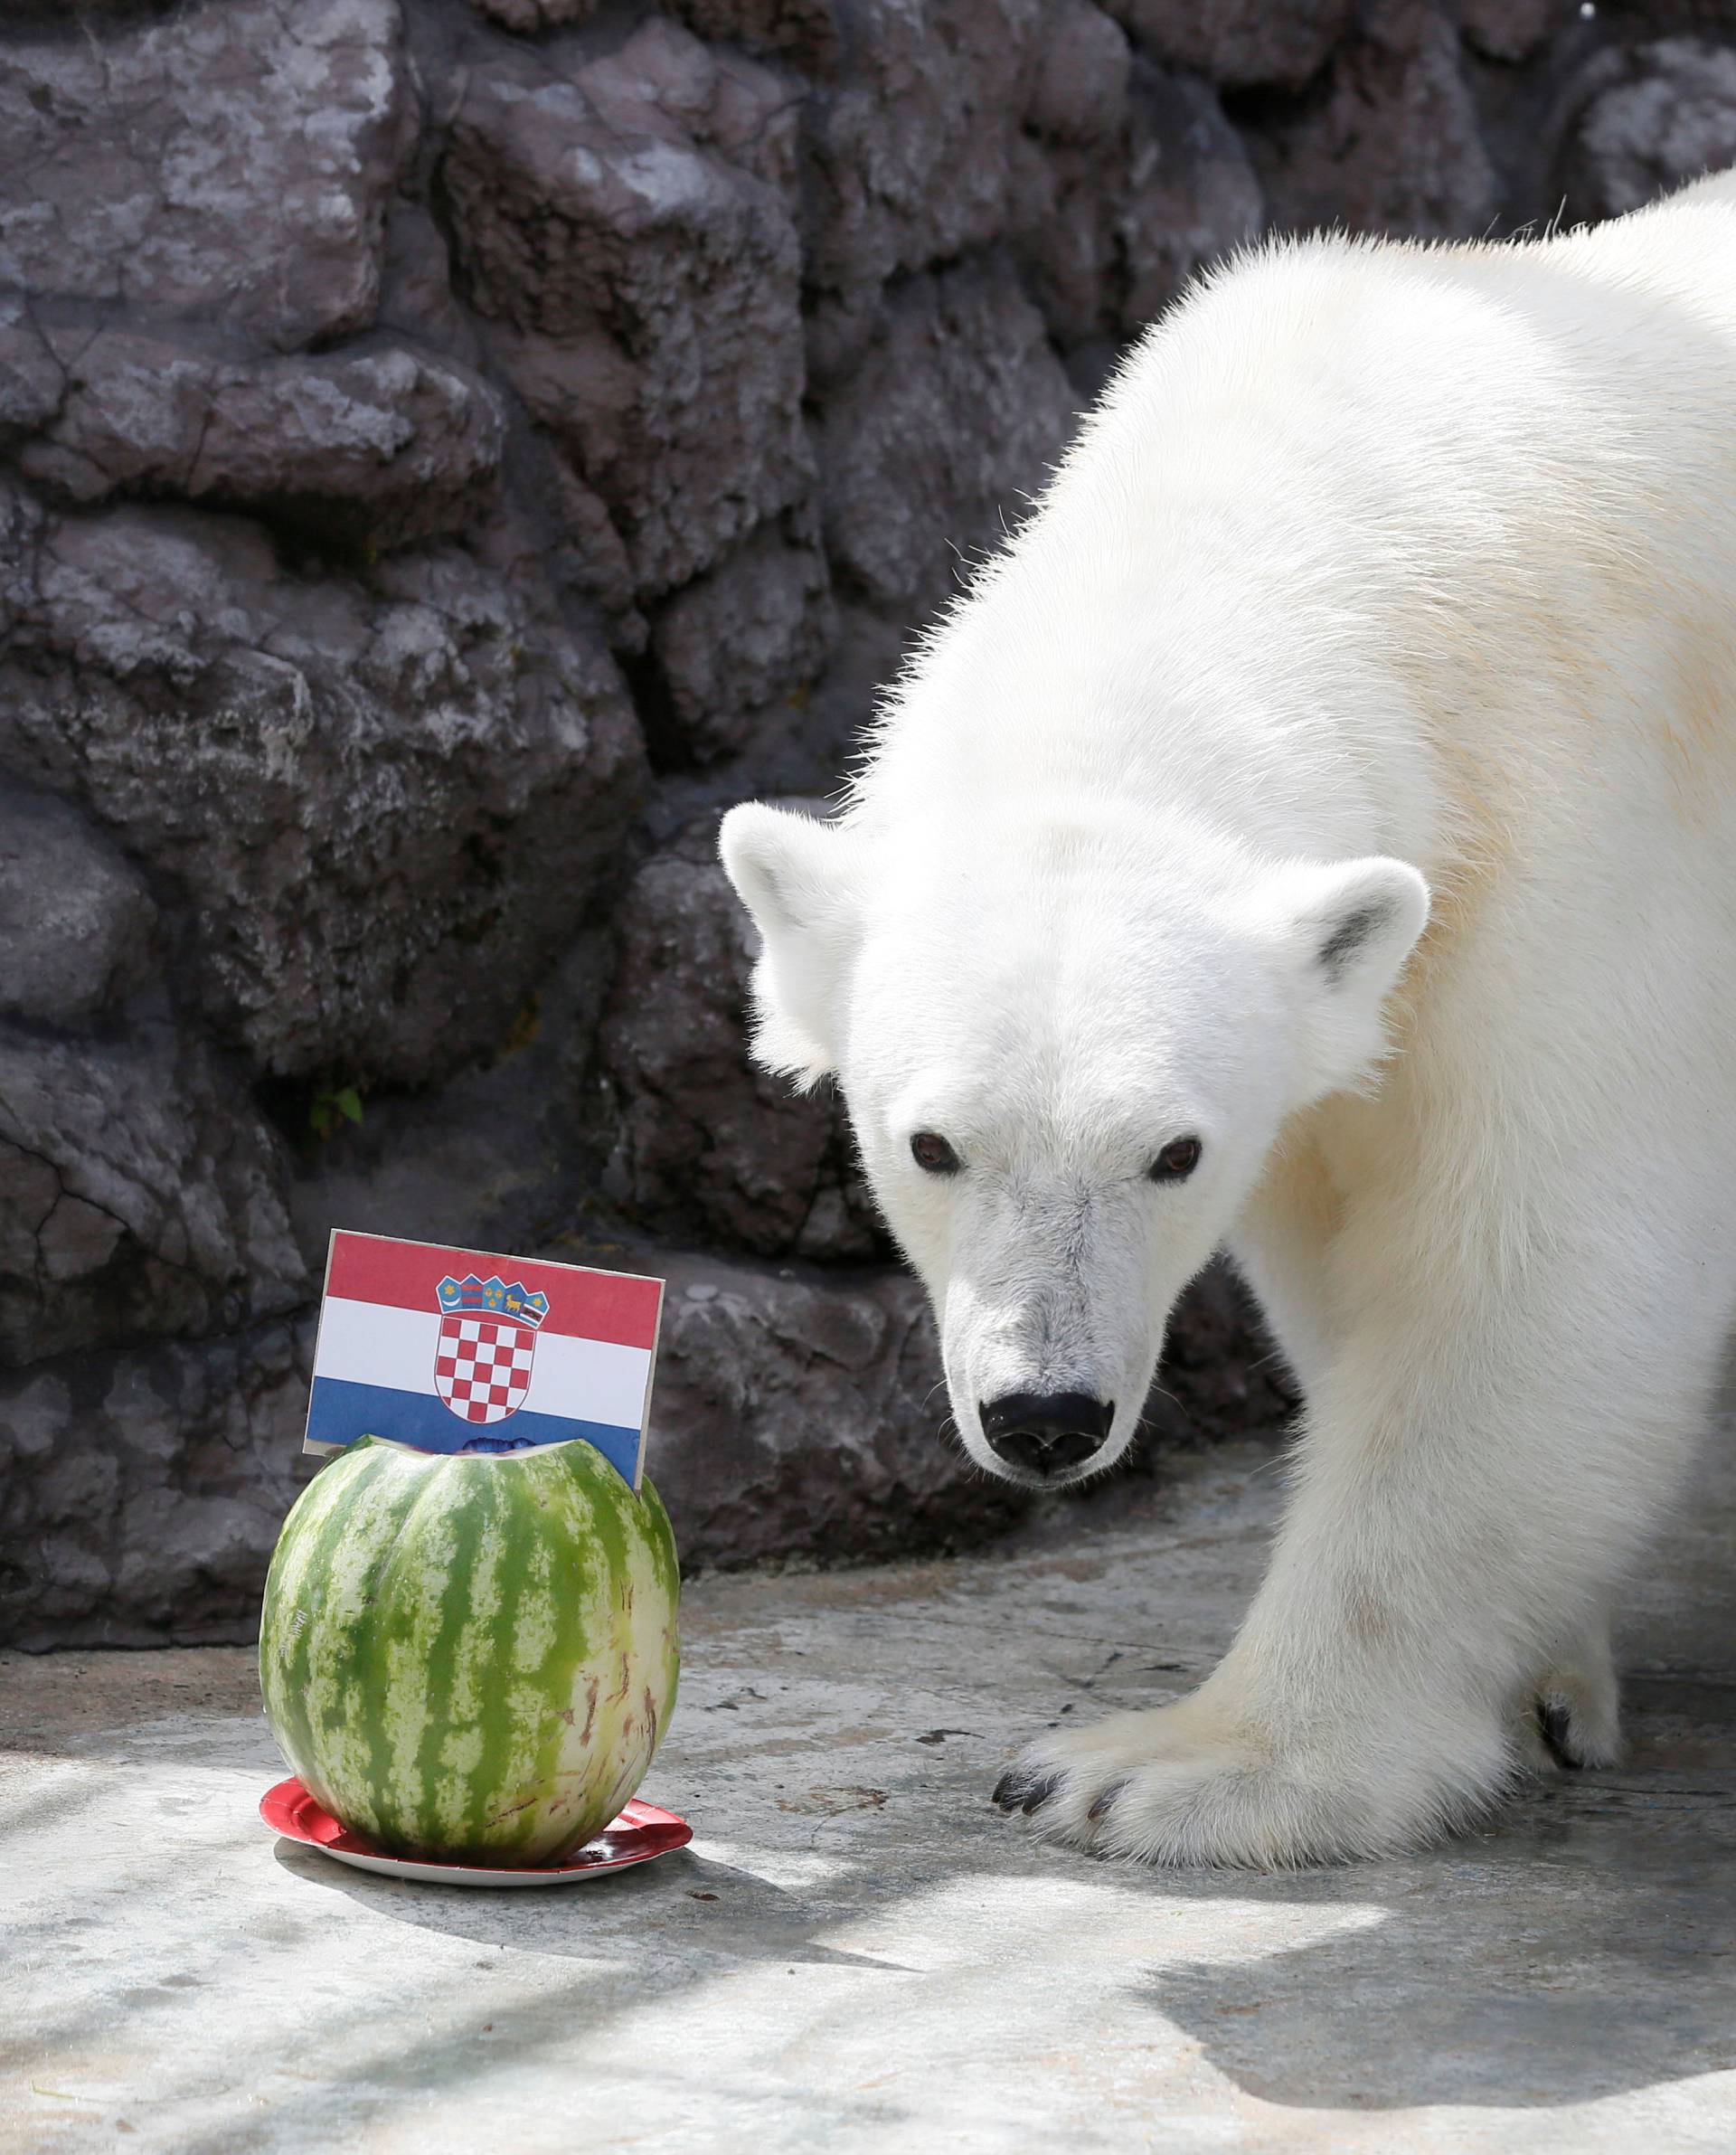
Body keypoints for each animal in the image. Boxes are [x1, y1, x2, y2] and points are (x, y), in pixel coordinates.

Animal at [719, 167, 1736, 1861]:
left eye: (1171, 1151)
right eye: (932, 1144)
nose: (1046, 1414)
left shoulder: (1580, 850)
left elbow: (1530, 1270)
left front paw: (1171, 1763)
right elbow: (1348, 1249)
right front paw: (1553, 1675)